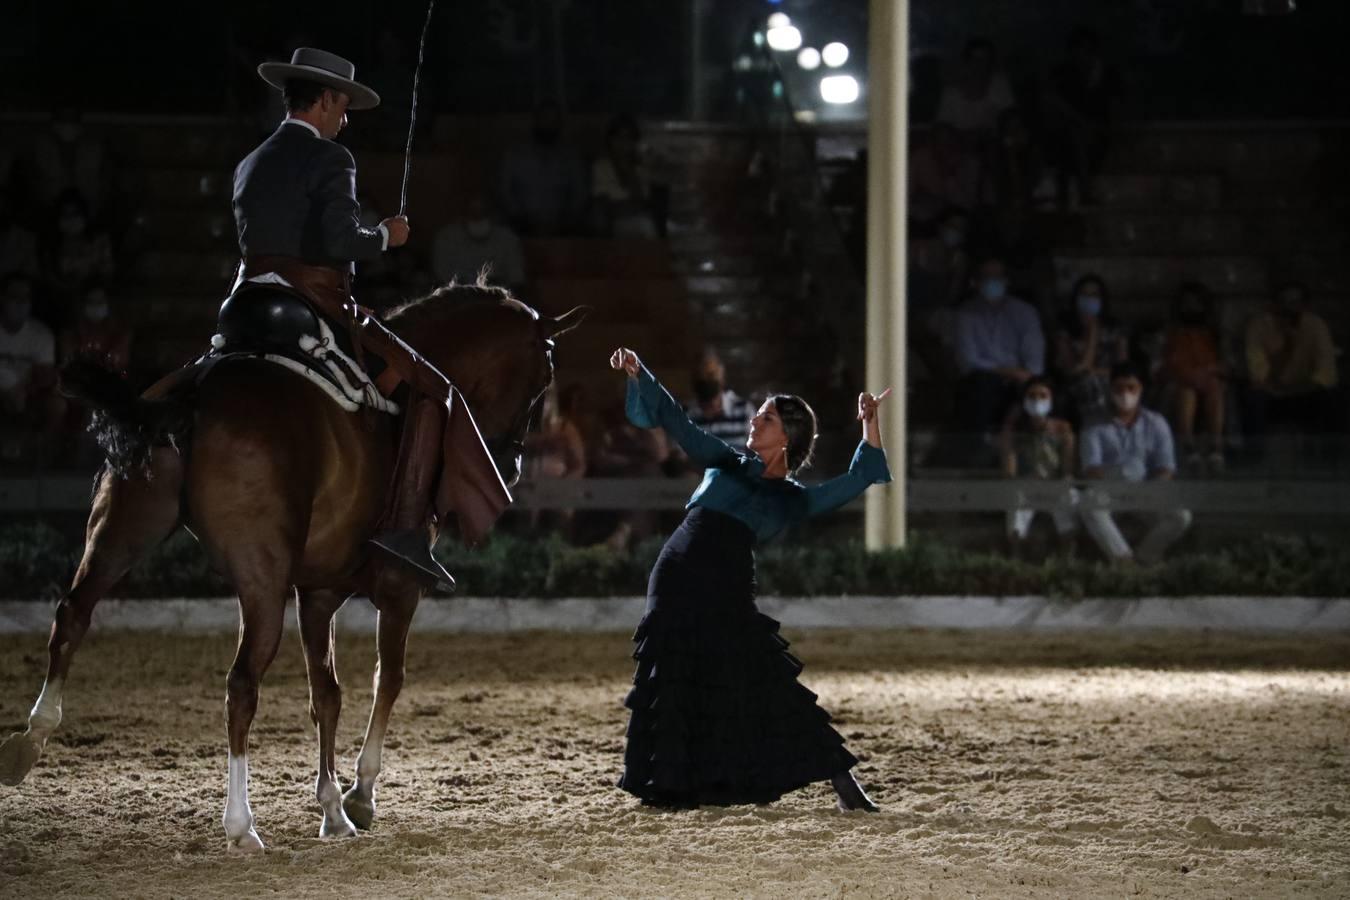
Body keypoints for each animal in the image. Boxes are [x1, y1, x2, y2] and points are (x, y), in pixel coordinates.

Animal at [0, 282, 585, 852]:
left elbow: (325, 694)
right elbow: (388, 678)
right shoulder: (400, 588)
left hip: (121, 529)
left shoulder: (317, 592)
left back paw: (30, 739)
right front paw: (360, 795)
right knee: (241, 682)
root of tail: (197, 391)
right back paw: (240, 824)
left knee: (72, 615)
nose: (511, 461)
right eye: (545, 376)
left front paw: (332, 809)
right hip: (261, 580)